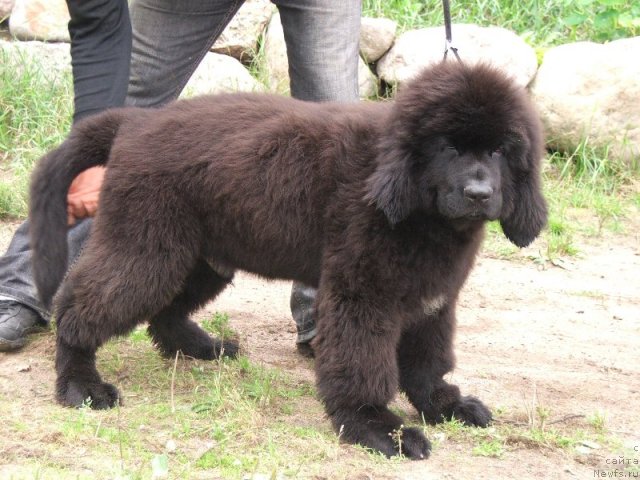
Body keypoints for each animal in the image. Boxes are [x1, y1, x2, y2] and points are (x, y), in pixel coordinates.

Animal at [30, 62, 548, 460]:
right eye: (448, 147)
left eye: (500, 150)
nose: (479, 193)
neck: (418, 208)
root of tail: (135, 122)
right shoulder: (363, 293)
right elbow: (362, 365)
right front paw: (377, 428)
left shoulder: (432, 297)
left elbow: (426, 361)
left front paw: (444, 407)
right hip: (146, 247)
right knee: (78, 308)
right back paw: (81, 386)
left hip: (201, 255)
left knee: (165, 311)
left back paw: (198, 347)